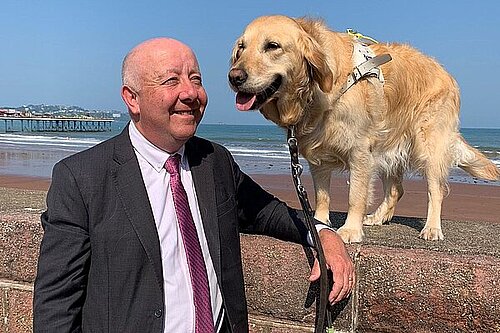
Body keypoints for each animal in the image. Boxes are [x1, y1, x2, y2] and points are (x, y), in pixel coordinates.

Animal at [229, 15, 498, 243]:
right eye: (241, 48)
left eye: (272, 46)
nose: (234, 77)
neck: (315, 91)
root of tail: (446, 73)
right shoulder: (319, 157)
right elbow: (322, 195)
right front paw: (319, 223)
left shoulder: (360, 151)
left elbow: (355, 195)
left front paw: (349, 230)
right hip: (388, 146)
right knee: (396, 189)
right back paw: (378, 217)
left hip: (429, 145)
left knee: (436, 190)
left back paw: (432, 228)